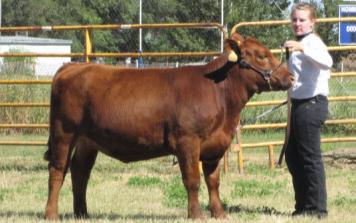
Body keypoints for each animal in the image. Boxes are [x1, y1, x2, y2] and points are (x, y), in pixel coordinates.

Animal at [43, 34, 292, 220]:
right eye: (262, 55)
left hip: (88, 140)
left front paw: (220, 213)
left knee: (80, 171)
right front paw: (196, 215)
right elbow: (193, 180)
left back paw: (82, 213)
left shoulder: (215, 145)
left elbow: (213, 181)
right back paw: (51, 214)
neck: (220, 93)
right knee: (58, 171)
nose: (290, 77)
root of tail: (72, 66)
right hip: (64, 132)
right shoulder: (187, 141)